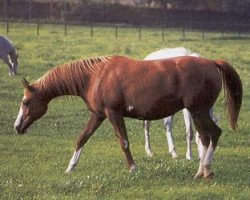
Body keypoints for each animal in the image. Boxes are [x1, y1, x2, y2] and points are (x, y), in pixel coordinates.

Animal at [14, 55, 241, 179]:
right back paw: (201, 171)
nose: (17, 127)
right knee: (205, 137)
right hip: (198, 112)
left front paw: (132, 168)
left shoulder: (114, 114)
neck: (95, 76)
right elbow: (81, 139)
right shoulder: (98, 115)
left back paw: (206, 170)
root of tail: (211, 62)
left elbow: (123, 142)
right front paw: (70, 168)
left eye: (25, 102)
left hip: (197, 111)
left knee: (213, 134)